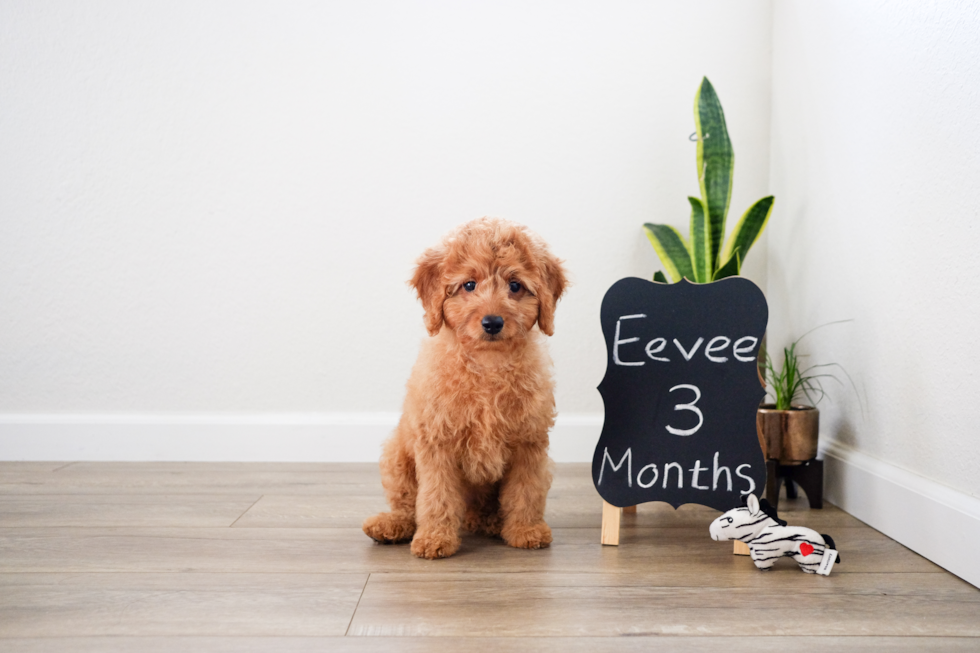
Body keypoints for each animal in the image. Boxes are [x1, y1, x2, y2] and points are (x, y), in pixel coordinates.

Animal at [364, 216, 568, 556]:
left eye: (515, 285)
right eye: (469, 285)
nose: (492, 322)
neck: (487, 365)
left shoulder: (529, 443)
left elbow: (526, 491)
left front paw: (526, 530)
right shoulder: (437, 442)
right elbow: (436, 495)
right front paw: (434, 538)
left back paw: (491, 522)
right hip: (397, 455)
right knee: (405, 500)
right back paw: (392, 525)